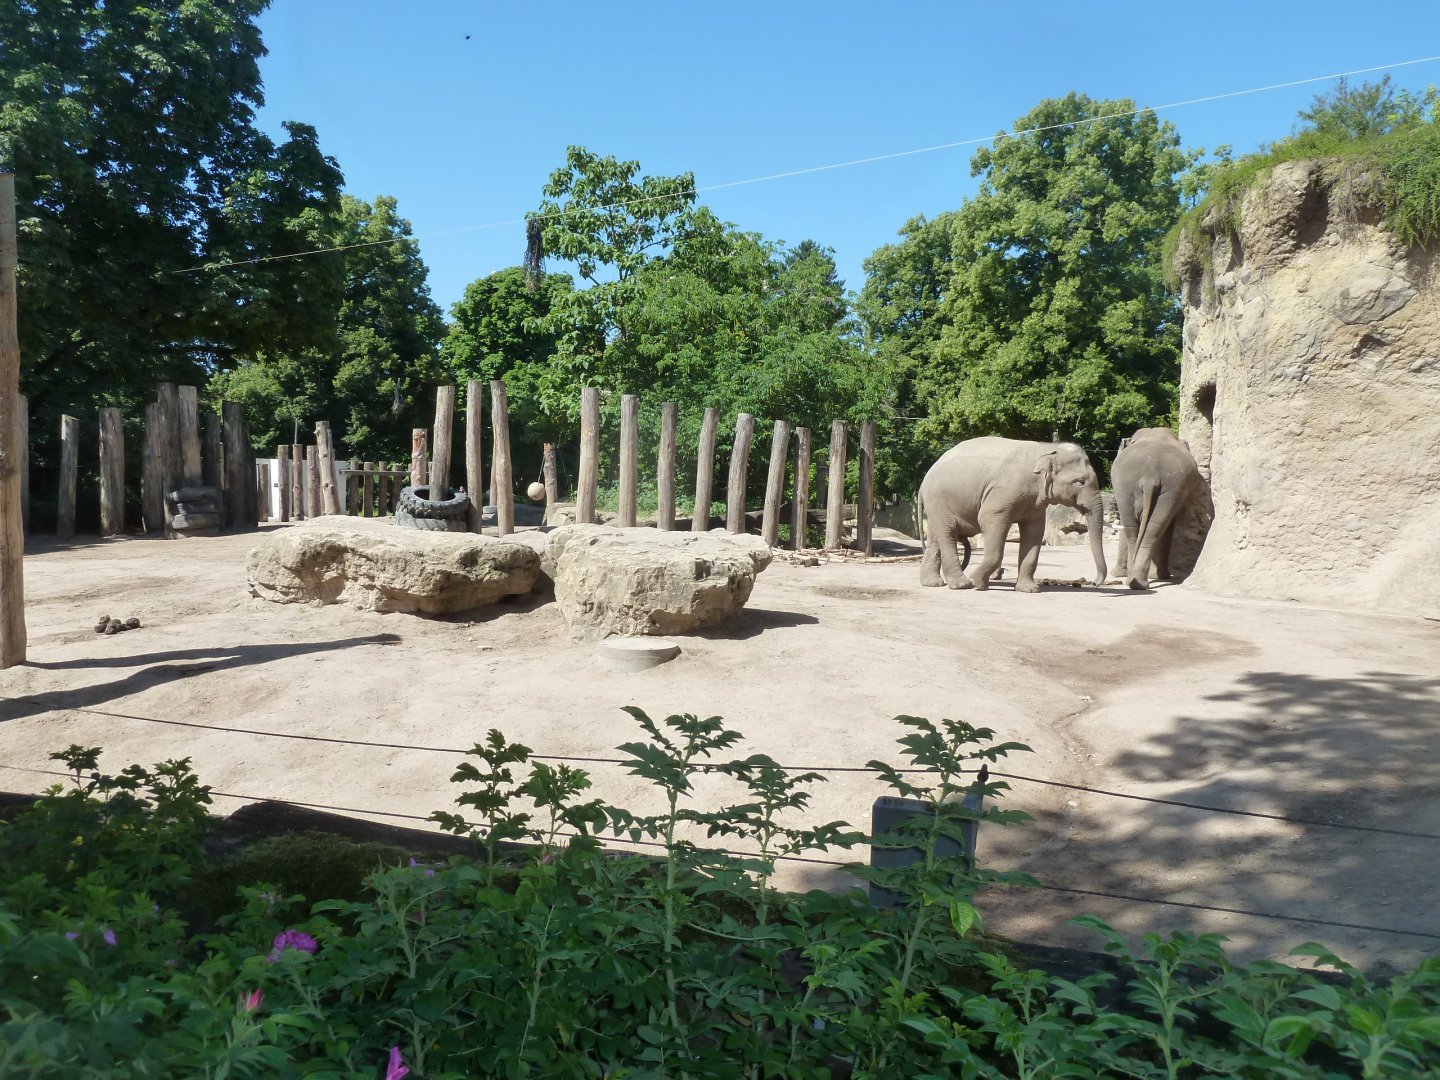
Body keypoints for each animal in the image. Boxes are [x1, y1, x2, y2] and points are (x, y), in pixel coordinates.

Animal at [919, 437, 1107, 593]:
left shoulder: (1035, 505)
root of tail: (924, 480)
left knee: (936, 538)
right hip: (938, 500)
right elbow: (987, 519)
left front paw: (1029, 589)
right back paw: (961, 585)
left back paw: (933, 583)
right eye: (1079, 482)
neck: (1045, 449)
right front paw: (977, 583)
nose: (1093, 582)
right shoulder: (1003, 493)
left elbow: (1034, 533)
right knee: (948, 533)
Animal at [1111, 427, 1203, 590]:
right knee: (1147, 529)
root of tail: (1149, 477)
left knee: (1143, 529)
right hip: (1148, 486)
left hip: (1165, 488)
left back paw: (1138, 581)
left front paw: (1117, 574)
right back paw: (1138, 581)